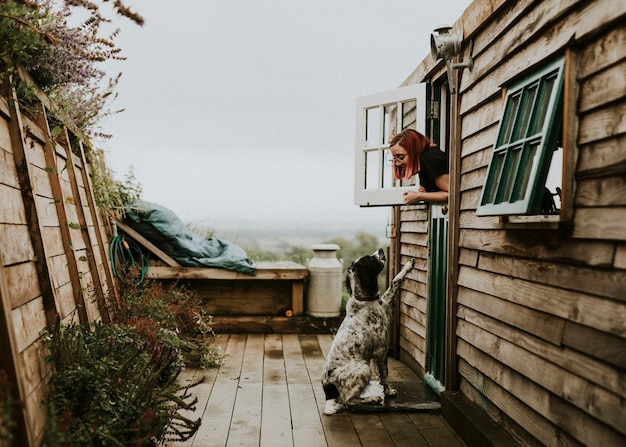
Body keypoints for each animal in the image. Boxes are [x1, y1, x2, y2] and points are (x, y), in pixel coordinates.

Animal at [322, 248, 414, 416]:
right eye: (370, 259)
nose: (381, 250)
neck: (364, 300)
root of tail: (328, 391)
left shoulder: (385, 302)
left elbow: (395, 281)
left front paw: (408, 265)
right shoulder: (381, 349)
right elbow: (385, 374)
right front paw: (388, 391)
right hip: (364, 368)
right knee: (349, 401)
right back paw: (372, 398)